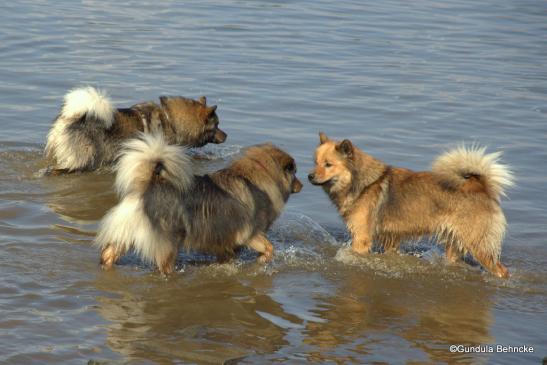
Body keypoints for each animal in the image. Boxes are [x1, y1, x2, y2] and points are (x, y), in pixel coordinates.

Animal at [96, 132, 302, 272]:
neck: (259, 178)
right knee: (164, 265)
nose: (301, 185)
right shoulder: (249, 233)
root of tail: (148, 185)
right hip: (170, 242)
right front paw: (262, 261)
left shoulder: (225, 242)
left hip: (125, 233)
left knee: (108, 254)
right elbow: (269, 247)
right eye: (294, 172)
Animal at [310, 132, 516, 278]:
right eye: (316, 162)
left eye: (328, 164)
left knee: (501, 270)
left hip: (478, 245)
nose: (309, 176)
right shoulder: (391, 239)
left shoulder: (361, 238)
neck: (362, 183)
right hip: (454, 244)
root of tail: (480, 187)